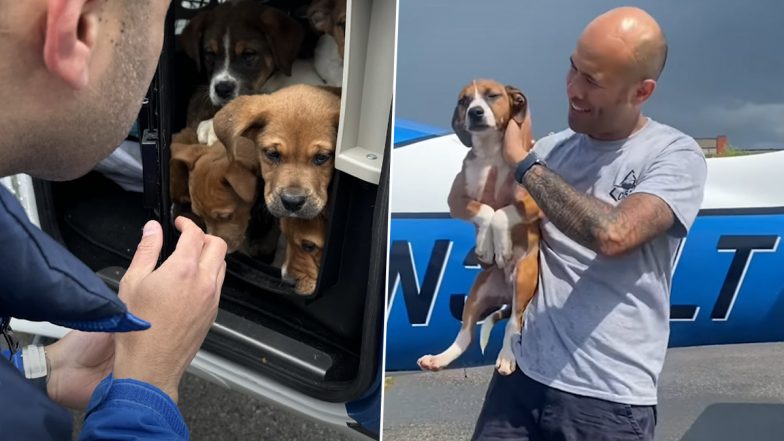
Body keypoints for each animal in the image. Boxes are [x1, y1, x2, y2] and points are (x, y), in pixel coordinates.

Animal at [420, 79, 544, 374]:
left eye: (493, 96)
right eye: (464, 100)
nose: (475, 112)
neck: (490, 155)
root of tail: (506, 289)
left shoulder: (533, 201)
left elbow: (501, 211)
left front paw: (501, 245)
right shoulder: (456, 199)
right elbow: (487, 210)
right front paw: (487, 247)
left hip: (524, 279)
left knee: (513, 324)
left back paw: (507, 357)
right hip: (477, 292)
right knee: (465, 335)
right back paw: (438, 359)